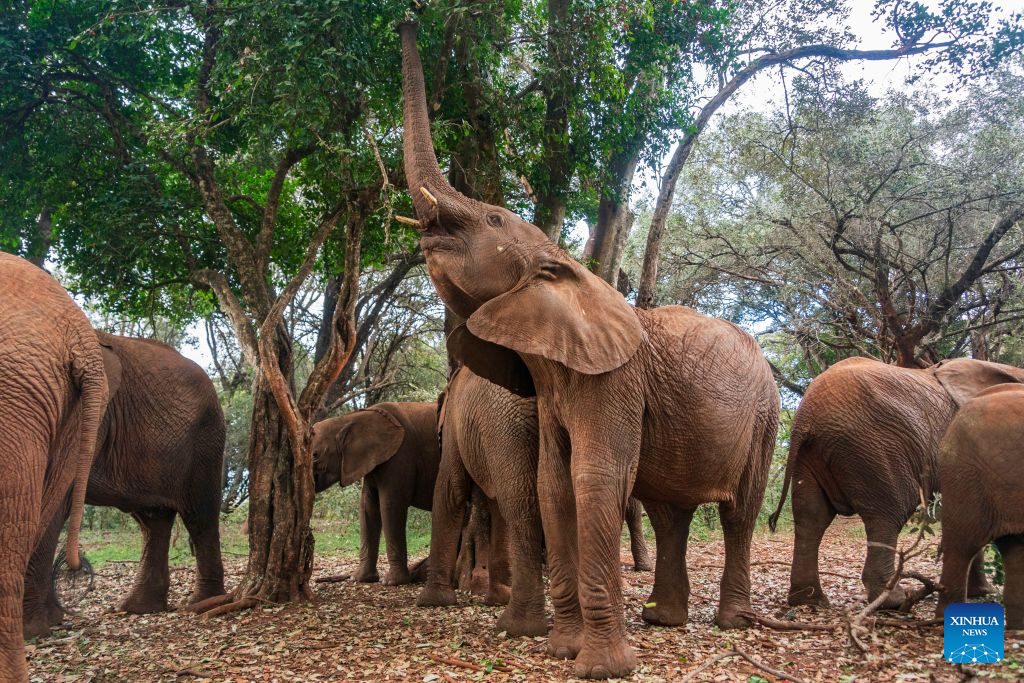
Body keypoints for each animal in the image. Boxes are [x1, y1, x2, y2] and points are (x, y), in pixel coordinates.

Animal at [22, 332, 226, 638]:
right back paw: (136, 609)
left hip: (206, 442)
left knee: (199, 517)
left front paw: (32, 630)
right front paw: (48, 623)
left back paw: (202, 604)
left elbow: (56, 494)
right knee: (153, 522)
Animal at [312, 402, 440, 586]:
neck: (351, 418)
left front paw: (391, 582)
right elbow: (368, 506)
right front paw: (360, 579)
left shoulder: (400, 455)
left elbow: (390, 504)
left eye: (315, 455)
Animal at [398, 23, 781, 678]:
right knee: (670, 511)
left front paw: (599, 666)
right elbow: (554, 485)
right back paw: (664, 621)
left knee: (738, 513)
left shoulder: (613, 381)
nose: (407, 23)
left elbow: (593, 480)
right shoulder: (552, 385)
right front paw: (560, 649)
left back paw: (731, 622)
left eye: (493, 219)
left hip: (766, 417)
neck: (568, 269)